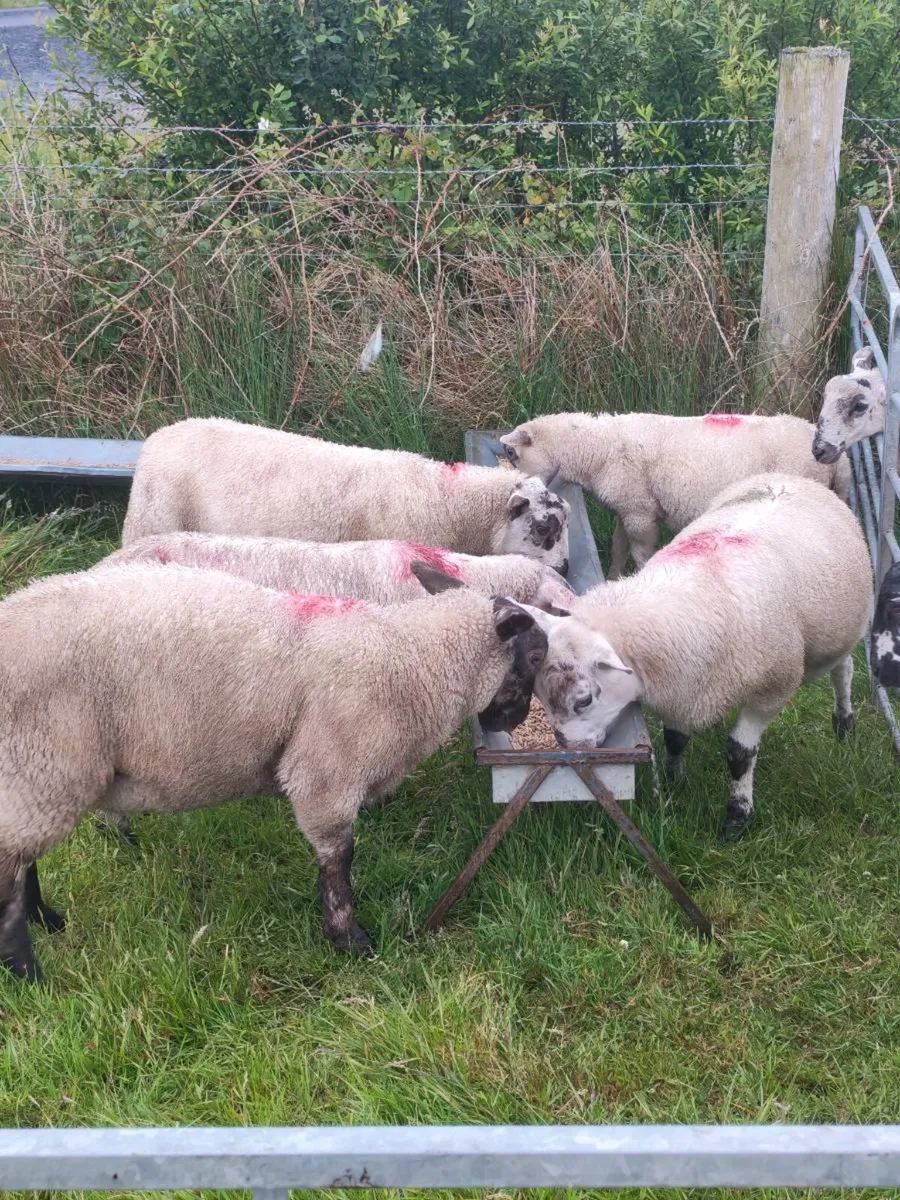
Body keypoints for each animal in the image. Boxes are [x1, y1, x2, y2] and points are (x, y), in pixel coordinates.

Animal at [0, 562, 547, 981]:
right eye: (537, 654)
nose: (515, 720)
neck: (410, 658)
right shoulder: (326, 770)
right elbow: (339, 860)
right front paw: (349, 940)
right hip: (43, 763)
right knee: (10, 874)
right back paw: (30, 974)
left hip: (32, 778)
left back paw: (48, 922)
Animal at [499, 411, 850, 577]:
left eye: (512, 454)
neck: (596, 450)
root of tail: (839, 459)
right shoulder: (628, 509)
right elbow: (618, 548)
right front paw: (612, 578)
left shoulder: (641, 513)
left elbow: (641, 554)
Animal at [526, 473, 872, 841]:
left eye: (584, 700)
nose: (563, 745)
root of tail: (791, 477)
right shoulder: (681, 688)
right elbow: (675, 738)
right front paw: (675, 781)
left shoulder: (773, 688)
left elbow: (740, 754)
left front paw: (737, 817)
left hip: (843, 630)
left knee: (843, 670)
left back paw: (843, 723)